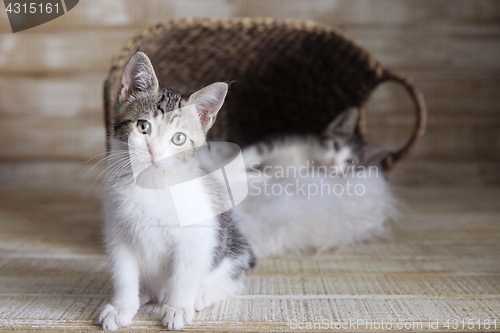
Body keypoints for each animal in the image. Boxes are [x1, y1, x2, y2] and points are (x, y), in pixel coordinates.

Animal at [98, 51, 254, 330]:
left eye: (178, 138)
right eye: (143, 126)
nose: (155, 153)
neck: (151, 184)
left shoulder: (197, 235)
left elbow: (185, 274)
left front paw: (178, 308)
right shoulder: (117, 232)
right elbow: (123, 274)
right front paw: (121, 307)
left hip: (232, 246)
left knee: (233, 280)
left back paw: (203, 294)